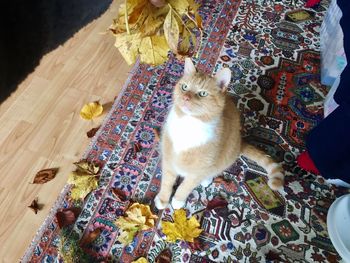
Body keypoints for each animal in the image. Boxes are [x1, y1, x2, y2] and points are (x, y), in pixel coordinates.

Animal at [155, 58, 284, 210]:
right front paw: (163, 199)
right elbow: (167, 182)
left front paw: (178, 200)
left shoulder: (198, 171)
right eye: (185, 87)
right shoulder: (168, 161)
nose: (186, 97)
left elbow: (185, 187)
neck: (189, 124)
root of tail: (240, 141)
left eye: (202, 93)